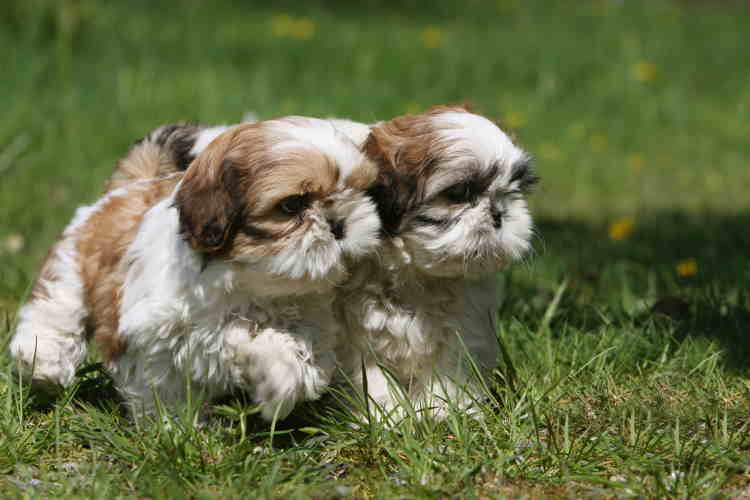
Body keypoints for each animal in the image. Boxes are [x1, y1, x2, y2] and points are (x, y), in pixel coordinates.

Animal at [7, 116, 382, 418]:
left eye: (359, 192)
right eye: (291, 205)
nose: (339, 224)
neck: (256, 284)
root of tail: (131, 186)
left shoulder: (313, 328)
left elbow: (295, 359)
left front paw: (274, 380)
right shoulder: (153, 339)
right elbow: (174, 377)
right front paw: (174, 427)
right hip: (72, 263)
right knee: (56, 310)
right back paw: (42, 360)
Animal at [336, 105, 540, 422]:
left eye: (511, 191)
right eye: (459, 193)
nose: (499, 214)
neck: (417, 277)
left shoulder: (466, 324)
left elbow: (450, 369)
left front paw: (441, 413)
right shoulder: (354, 333)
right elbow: (371, 376)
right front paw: (387, 418)